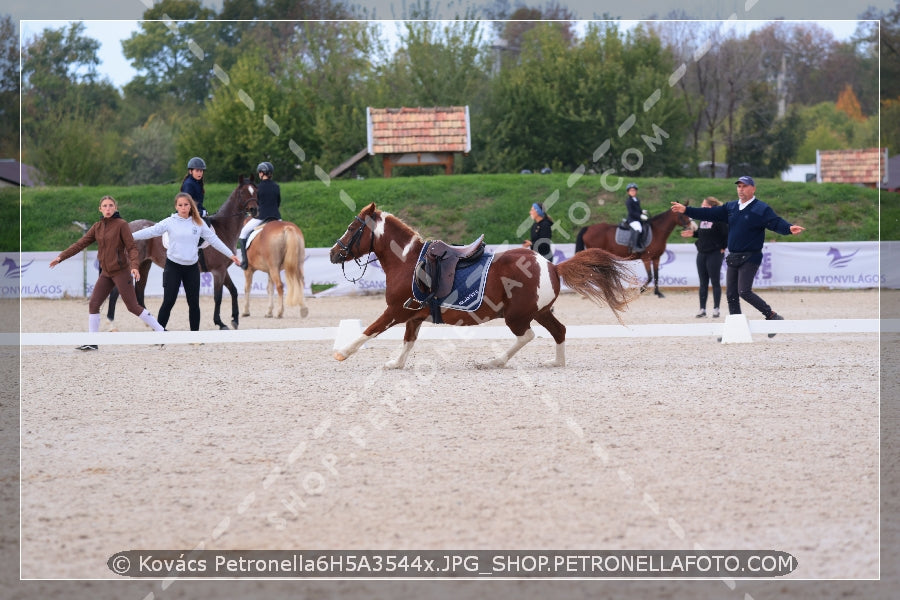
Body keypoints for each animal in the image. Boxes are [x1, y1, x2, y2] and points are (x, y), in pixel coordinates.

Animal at [326, 204, 636, 368]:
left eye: (352, 228)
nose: (333, 253)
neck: (408, 262)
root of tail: (551, 266)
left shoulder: (395, 311)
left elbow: (369, 330)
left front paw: (342, 353)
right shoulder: (413, 315)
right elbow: (408, 342)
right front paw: (396, 364)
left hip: (517, 316)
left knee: (526, 336)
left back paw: (494, 362)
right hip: (539, 311)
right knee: (559, 331)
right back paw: (555, 362)